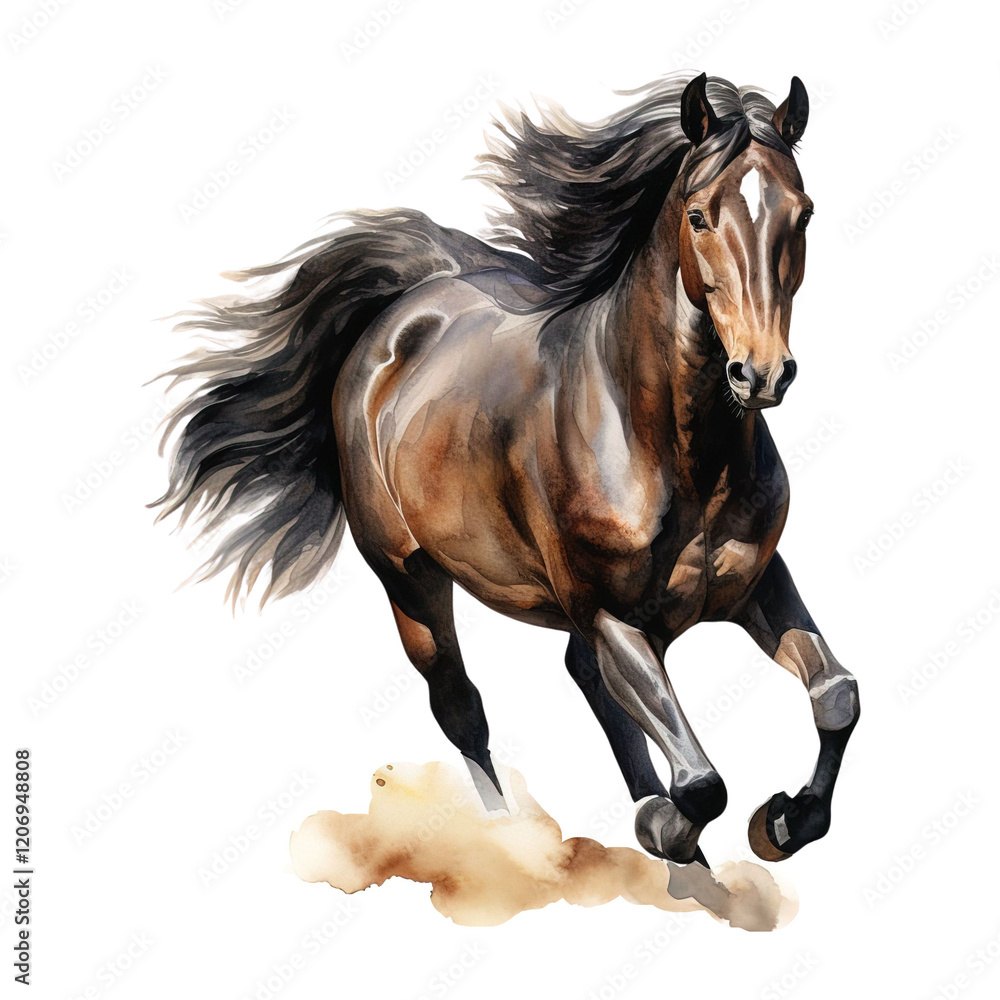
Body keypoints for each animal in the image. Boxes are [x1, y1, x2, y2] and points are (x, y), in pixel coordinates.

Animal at [154, 72, 859, 867]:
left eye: (802, 213)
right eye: (700, 215)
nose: (762, 373)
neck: (674, 451)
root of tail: (408, 306)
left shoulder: (756, 583)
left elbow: (837, 695)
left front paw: (783, 822)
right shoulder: (614, 617)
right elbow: (702, 784)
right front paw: (681, 826)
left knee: (583, 679)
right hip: (409, 578)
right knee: (462, 707)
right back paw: (518, 838)